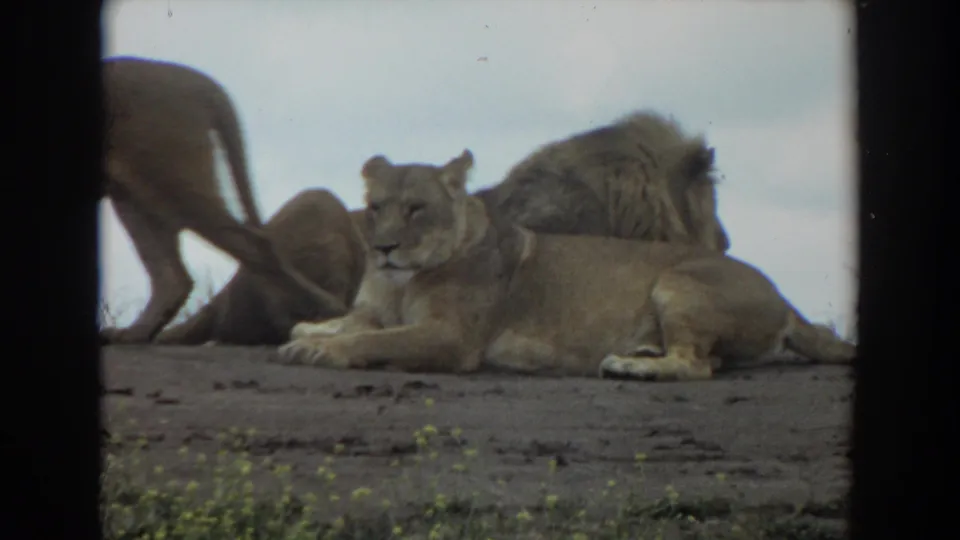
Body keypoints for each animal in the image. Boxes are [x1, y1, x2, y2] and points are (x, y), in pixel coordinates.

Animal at [274, 150, 854, 382]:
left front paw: (320, 348)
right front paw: (312, 329)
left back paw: (632, 366)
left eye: (416, 208)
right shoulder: (379, 308)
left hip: (678, 281)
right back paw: (641, 351)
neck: (400, 282)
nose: (384, 248)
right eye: (376, 208)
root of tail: (786, 300)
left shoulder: (452, 338)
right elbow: (355, 323)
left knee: (697, 366)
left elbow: (376, 339)